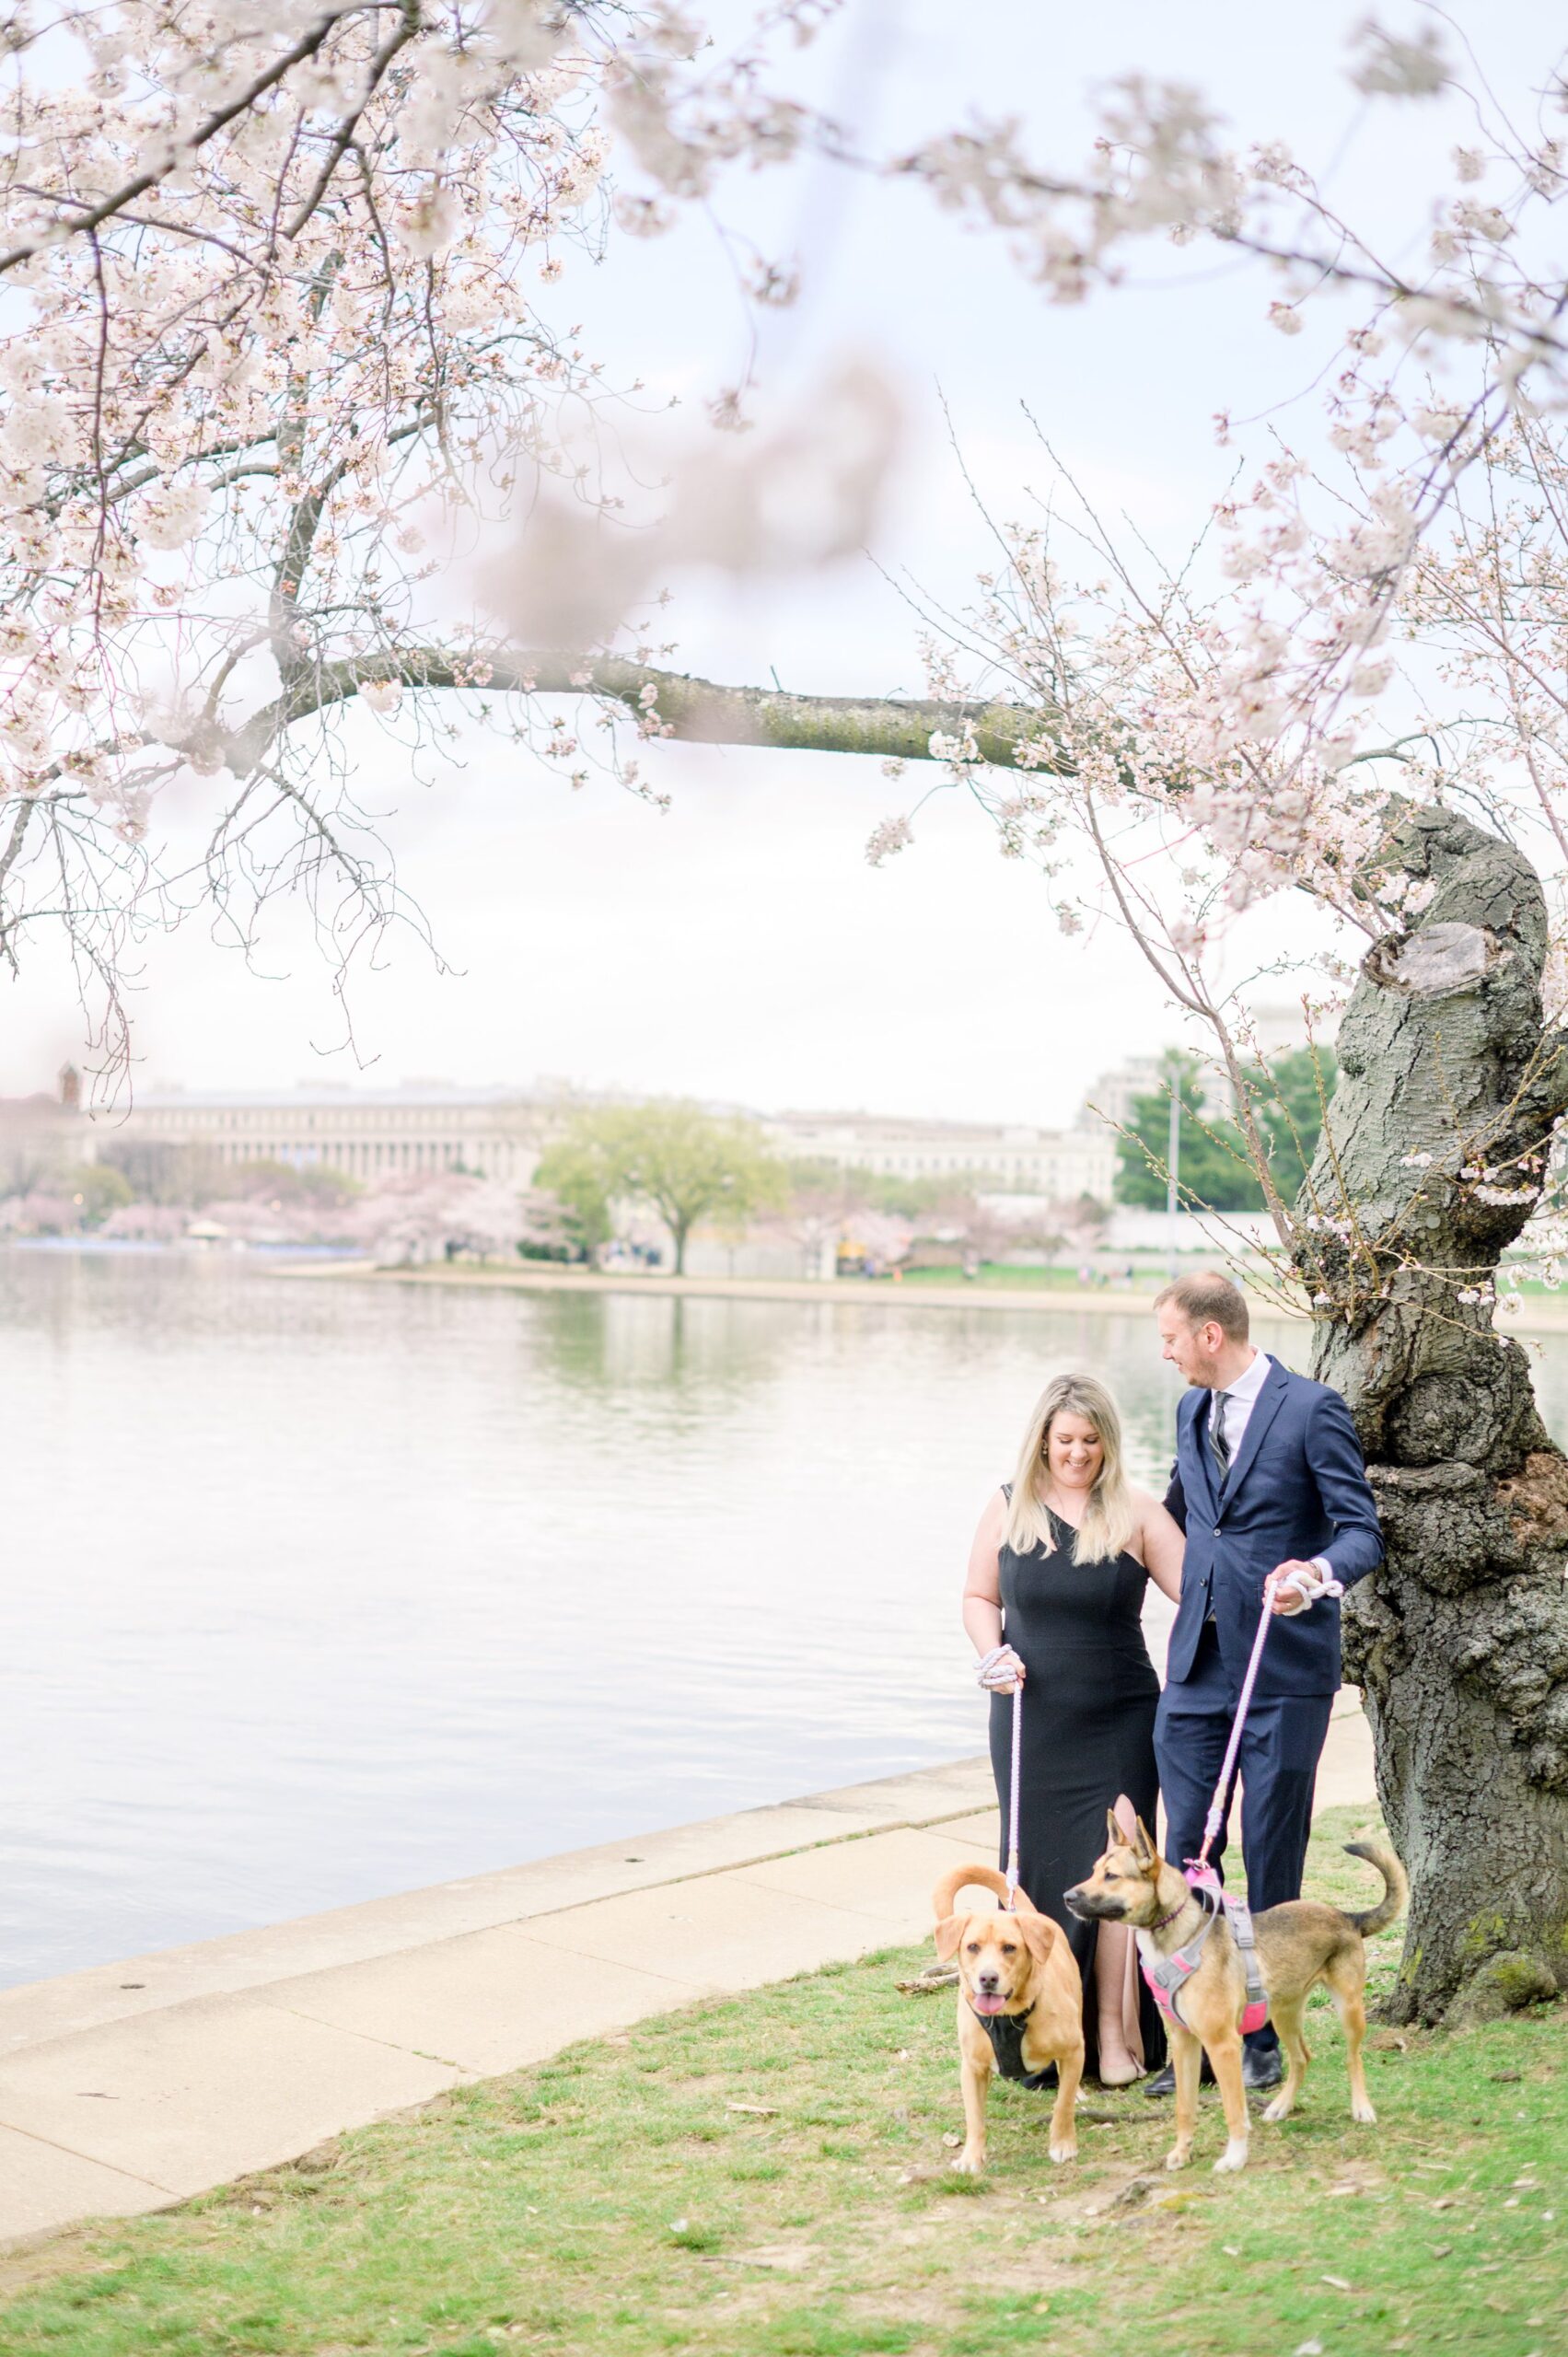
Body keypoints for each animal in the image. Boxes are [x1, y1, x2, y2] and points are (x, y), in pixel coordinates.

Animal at [934, 1857, 1085, 2168]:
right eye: (972, 1946)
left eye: (1009, 1948)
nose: (988, 1978)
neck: (1008, 2017)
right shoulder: (973, 2068)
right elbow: (974, 2117)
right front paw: (971, 2156)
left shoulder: (1074, 2049)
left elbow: (1062, 2104)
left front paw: (1063, 2144)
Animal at [1065, 1810, 1405, 2177]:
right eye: (1094, 1870)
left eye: (1111, 1875)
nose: (1067, 1897)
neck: (1181, 1939)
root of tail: (1347, 1916)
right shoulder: (1185, 2043)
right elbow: (1185, 2107)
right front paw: (1182, 2152)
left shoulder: (1222, 2044)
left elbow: (1233, 2109)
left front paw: (1235, 2157)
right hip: (1284, 2014)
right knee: (1302, 2057)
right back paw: (1282, 2106)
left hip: (1349, 2009)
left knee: (1353, 2058)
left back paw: (1361, 2107)